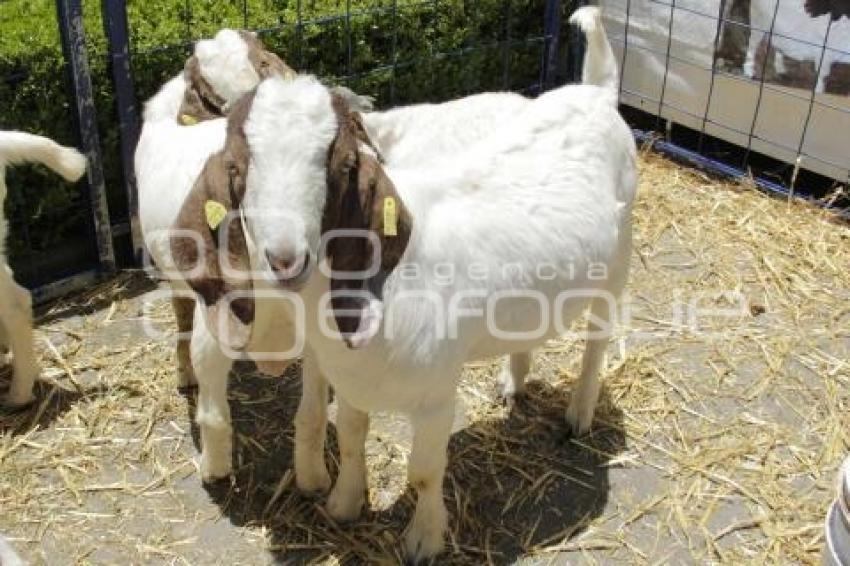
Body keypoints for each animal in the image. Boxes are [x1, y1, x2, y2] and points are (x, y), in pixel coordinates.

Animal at [172, 8, 632, 564]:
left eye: (344, 165)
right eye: (236, 167)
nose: (284, 258)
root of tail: (596, 94)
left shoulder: (436, 396)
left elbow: (426, 472)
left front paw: (424, 539)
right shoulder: (350, 382)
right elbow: (351, 437)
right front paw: (344, 504)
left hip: (617, 263)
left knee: (597, 342)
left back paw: (579, 414)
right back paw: (513, 383)